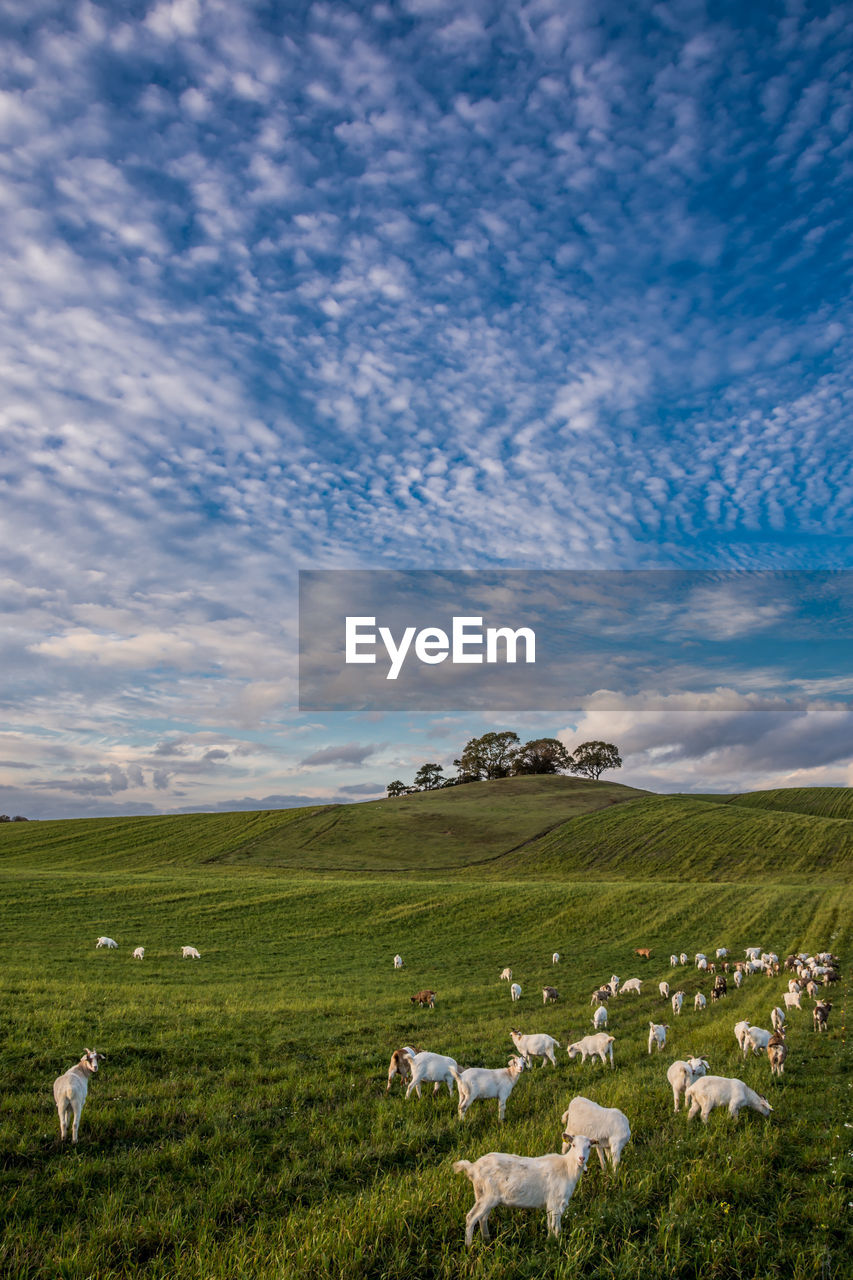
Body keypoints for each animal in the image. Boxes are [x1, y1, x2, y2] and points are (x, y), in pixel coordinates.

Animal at [450, 1136, 591, 1244]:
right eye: (573, 1145)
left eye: (589, 1146)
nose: (581, 1158)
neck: (567, 1168)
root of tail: (473, 1168)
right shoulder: (556, 1202)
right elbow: (556, 1226)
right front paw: (556, 1243)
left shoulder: (550, 1204)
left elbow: (550, 1223)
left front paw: (550, 1241)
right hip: (488, 1195)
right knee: (471, 1217)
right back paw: (469, 1247)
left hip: (480, 1194)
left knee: (482, 1218)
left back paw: (487, 1240)